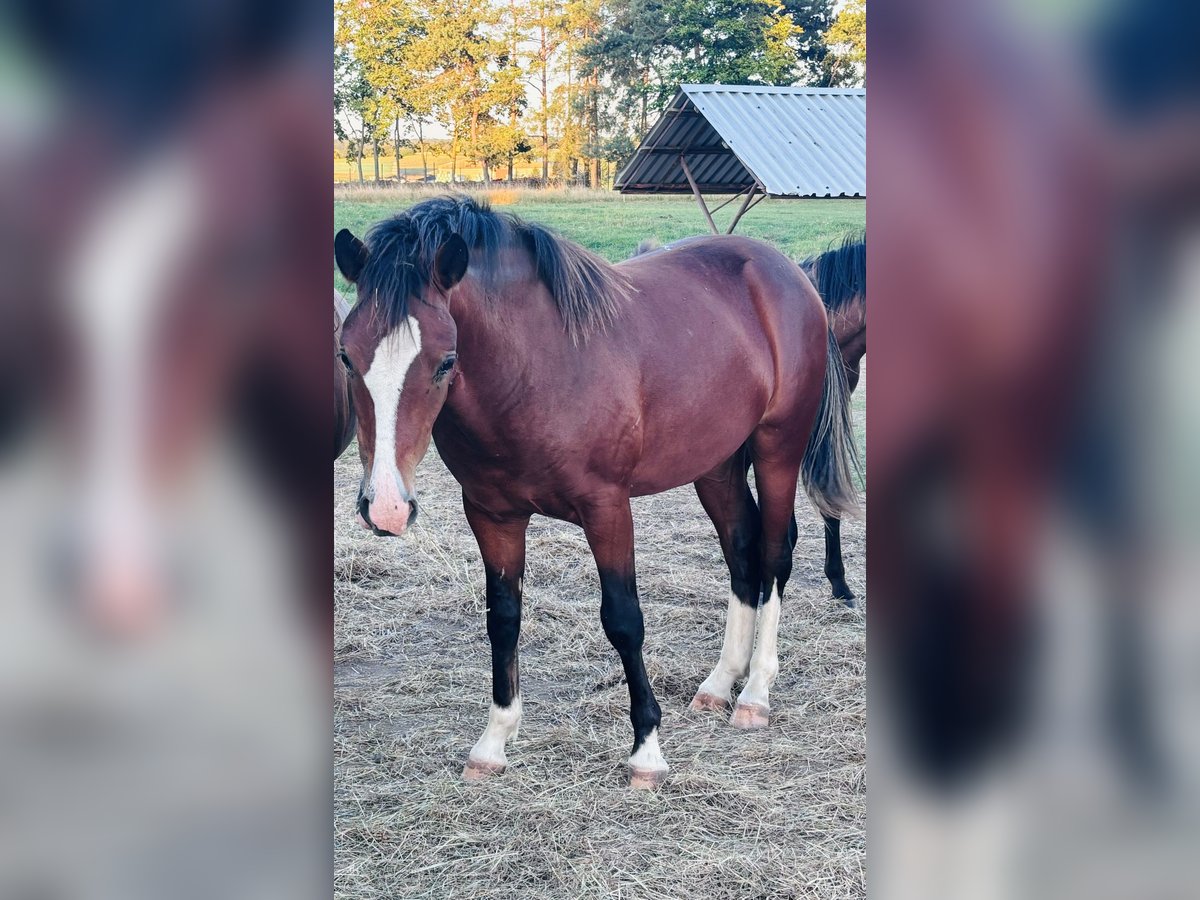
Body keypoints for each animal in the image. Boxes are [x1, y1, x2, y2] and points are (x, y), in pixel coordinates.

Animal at [333, 196, 859, 787]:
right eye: (346, 355)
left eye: (446, 360)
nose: (386, 507)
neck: (535, 369)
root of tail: (787, 271)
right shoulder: (491, 514)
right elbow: (503, 619)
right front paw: (493, 742)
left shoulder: (607, 509)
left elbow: (624, 621)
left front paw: (647, 752)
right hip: (716, 466)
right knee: (742, 553)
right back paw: (720, 683)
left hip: (777, 451)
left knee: (772, 556)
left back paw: (756, 693)